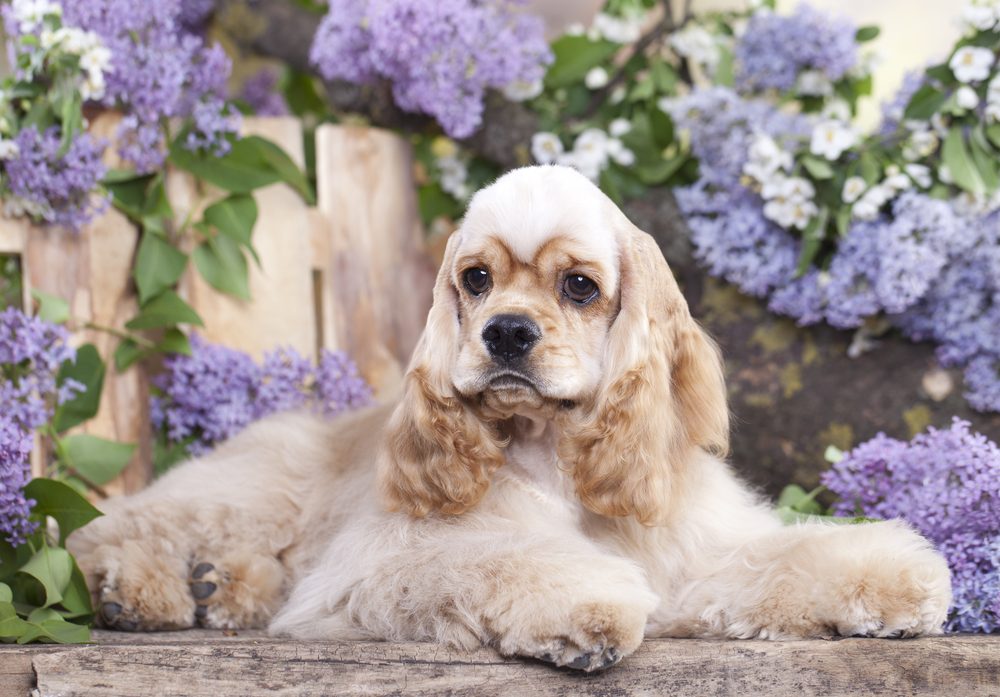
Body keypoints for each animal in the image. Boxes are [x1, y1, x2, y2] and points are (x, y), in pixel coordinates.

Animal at [72, 166, 952, 672]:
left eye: (579, 286)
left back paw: (222, 586)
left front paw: (896, 578)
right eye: (477, 277)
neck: (555, 452)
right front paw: (589, 611)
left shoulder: (692, 551)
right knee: (108, 529)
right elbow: (506, 561)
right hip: (251, 487)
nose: (506, 332)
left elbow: (780, 559)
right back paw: (145, 589)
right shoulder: (385, 563)